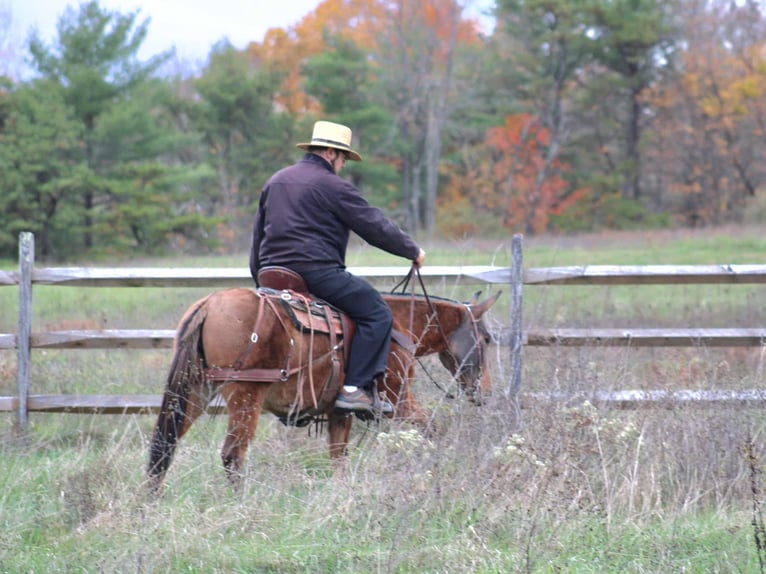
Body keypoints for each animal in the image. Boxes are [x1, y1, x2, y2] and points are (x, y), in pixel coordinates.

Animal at [147, 273, 501, 491]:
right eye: (486, 338)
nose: (484, 392)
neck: (401, 324)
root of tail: (208, 305)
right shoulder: (399, 399)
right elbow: (433, 429)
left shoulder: (339, 412)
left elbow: (338, 456)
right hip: (245, 396)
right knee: (232, 454)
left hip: (195, 393)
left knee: (164, 448)